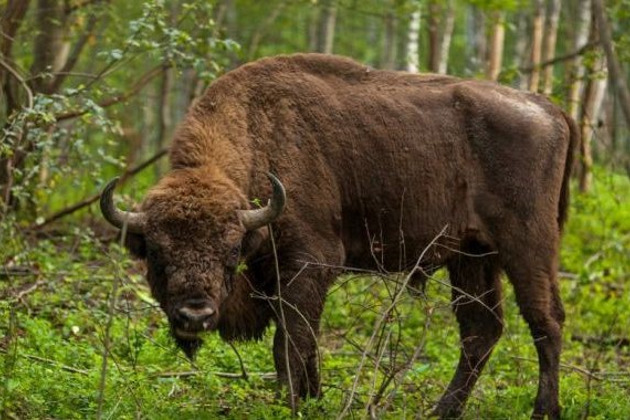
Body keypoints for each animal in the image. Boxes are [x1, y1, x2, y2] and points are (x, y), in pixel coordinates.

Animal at [101, 52, 580, 416]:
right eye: (156, 252)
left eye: (231, 250)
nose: (194, 315)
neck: (260, 135)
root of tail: (551, 109)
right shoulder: (279, 274)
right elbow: (305, 343)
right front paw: (312, 400)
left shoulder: (308, 264)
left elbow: (289, 344)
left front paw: (291, 404)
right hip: (471, 255)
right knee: (481, 329)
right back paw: (442, 410)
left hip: (527, 246)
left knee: (546, 321)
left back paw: (543, 410)